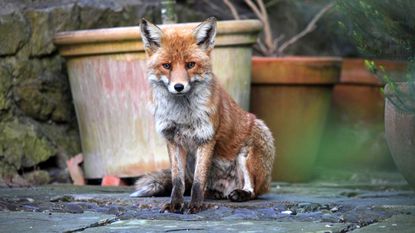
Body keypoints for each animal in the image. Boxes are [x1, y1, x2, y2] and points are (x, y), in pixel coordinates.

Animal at [132, 15, 276, 213]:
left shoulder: (206, 138)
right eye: (167, 66)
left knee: (253, 189)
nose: (179, 86)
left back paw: (240, 194)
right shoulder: (173, 140)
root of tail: (227, 188)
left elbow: (198, 181)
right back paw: (213, 194)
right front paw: (175, 204)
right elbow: (178, 182)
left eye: (190, 65)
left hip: (250, 149)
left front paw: (195, 205)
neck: (182, 115)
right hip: (191, 162)